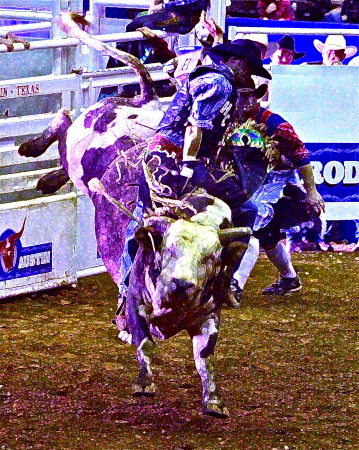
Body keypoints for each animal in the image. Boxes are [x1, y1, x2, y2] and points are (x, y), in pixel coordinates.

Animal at [17, 13, 264, 418]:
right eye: (166, 250)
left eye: (212, 256)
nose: (181, 285)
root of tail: (144, 97)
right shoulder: (137, 307)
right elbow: (143, 343)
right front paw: (144, 383)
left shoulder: (208, 319)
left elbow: (206, 360)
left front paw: (213, 401)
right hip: (80, 148)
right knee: (64, 120)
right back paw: (31, 147)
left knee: (63, 146)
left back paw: (46, 178)